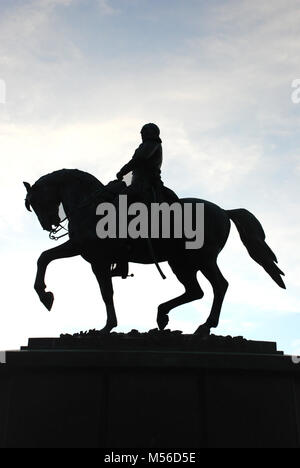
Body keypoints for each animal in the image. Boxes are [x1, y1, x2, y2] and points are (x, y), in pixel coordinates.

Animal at [24, 168, 286, 336]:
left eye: (34, 201)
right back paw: (162, 315)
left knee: (219, 286)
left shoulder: (96, 259)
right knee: (196, 291)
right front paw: (46, 296)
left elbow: (105, 292)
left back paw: (205, 325)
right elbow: (45, 257)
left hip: (202, 259)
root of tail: (223, 210)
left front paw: (106, 326)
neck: (90, 207)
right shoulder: (82, 251)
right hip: (180, 262)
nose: (48, 225)